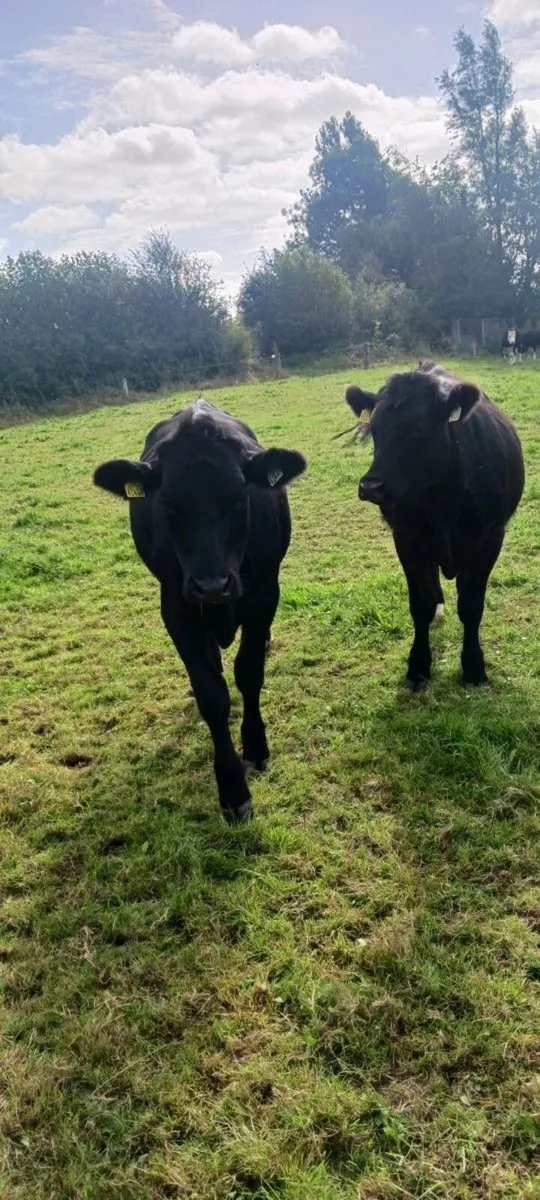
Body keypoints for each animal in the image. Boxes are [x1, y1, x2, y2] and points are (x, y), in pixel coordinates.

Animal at [93, 399, 306, 823]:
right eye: (169, 504)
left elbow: (249, 674)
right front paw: (233, 790)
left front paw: (255, 747)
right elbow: (212, 694)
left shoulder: (264, 597)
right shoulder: (177, 610)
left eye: (239, 498)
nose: (211, 585)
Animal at [345, 362, 524, 690]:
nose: (370, 486)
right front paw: (417, 667)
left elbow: (471, 605)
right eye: (375, 430)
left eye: (418, 430)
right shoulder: (407, 540)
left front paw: (474, 668)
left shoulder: (490, 539)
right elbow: (421, 605)